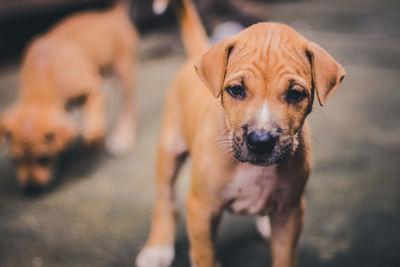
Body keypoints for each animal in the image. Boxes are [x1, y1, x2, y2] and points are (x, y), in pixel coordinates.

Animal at [1, 3, 139, 189]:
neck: (43, 75)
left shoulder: (95, 89)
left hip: (124, 71)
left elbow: (92, 132)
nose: (31, 188)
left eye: (43, 158)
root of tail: (112, 15)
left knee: (128, 106)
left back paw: (122, 137)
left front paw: (93, 144)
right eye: (15, 161)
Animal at [136, 0, 346, 267]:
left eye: (296, 94)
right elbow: (204, 255)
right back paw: (158, 248)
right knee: (165, 201)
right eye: (236, 90)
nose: (260, 141)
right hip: (170, 149)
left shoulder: (291, 212)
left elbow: (284, 257)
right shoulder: (201, 209)